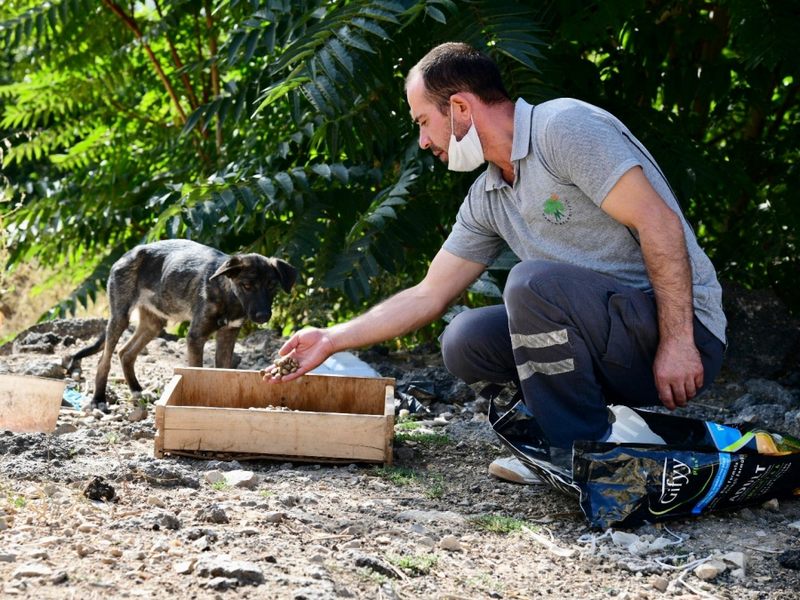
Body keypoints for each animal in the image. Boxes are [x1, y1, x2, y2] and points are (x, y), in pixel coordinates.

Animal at [70, 239, 296, 412]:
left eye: (272, 286)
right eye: (247, 285)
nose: (263, 316)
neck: (229, 296)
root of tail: (128, 254)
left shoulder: (228, 335)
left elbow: (223, 371)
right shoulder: (196, 336)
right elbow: (197, 371)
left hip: (154, 323)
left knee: (125, 353)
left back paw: (137, 390)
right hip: (120, 316)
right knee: (104, 360)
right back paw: (99, 399)